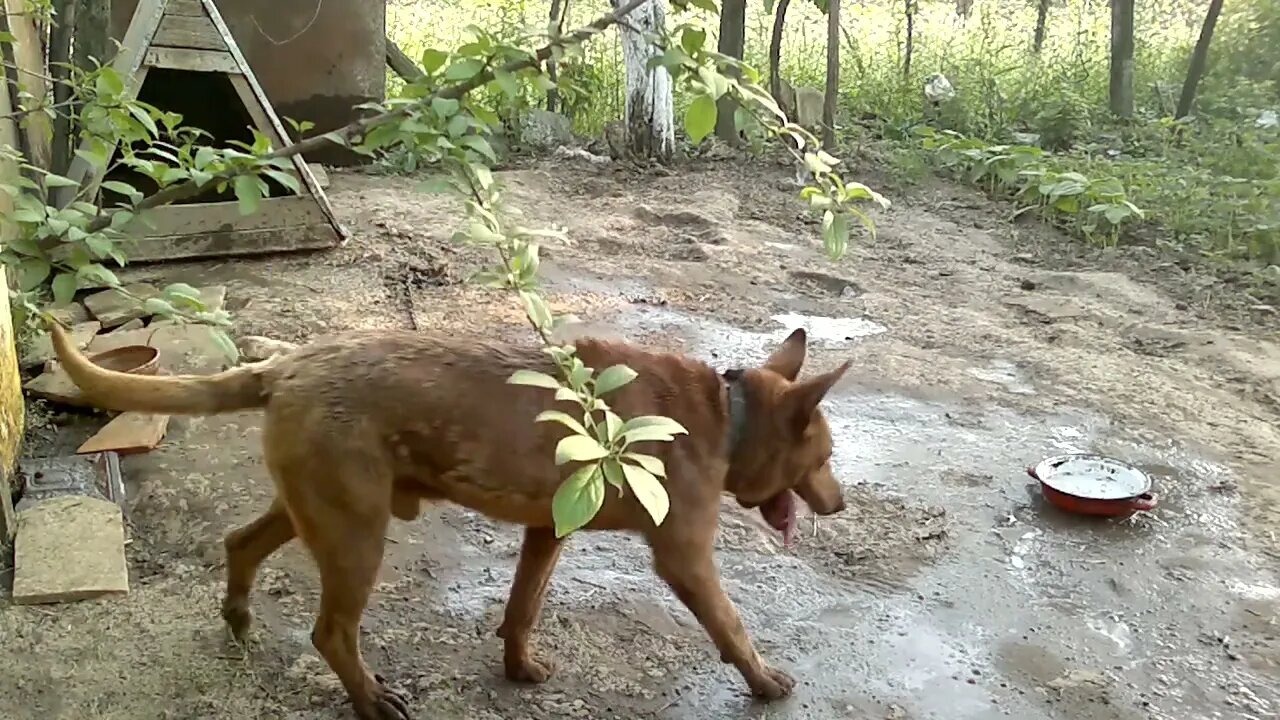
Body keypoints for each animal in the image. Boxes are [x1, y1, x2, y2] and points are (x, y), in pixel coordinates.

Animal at [49, 322, 849, 712]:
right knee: (330, 631)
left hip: (315, 511)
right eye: (825, 457)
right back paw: (371, 700)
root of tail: (287, 365)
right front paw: (764, 681)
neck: (727, 415)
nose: (841, 503)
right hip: (356, 536)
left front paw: (518, 667)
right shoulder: (685, 559)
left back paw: (240, 620)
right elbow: (732, 628)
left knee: (240, 542)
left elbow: (521, 609)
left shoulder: (546, 531)